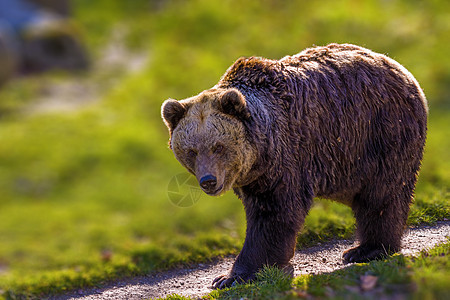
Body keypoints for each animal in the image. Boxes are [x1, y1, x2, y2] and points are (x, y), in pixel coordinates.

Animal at [160, 43, 428, 290]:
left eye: (218, 147)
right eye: (191, 151)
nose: (209, 180)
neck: (260, 153)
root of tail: (402, 70)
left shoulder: (285, 158)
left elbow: (273, 216)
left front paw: (232, 276)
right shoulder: (255, 176)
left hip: (379, 132)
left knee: (381, 195)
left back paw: (366, 250)